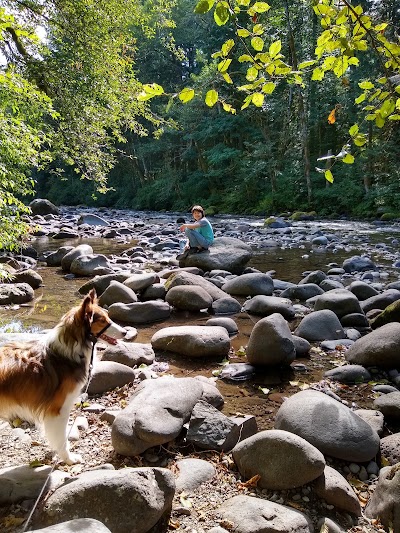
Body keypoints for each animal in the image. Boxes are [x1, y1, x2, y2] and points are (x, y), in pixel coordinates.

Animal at [0, 288, 126, 464]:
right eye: (102, 321)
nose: (126, 332)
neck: (70, 351)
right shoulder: (59, 409)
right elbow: (62, 438)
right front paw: (69, 459)